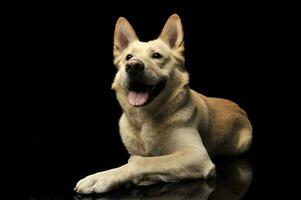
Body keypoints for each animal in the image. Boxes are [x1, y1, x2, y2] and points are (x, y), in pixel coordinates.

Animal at [74, 13, 251, 194]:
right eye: (128, 57)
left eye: (157, 56)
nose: (133, 66)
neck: (144, 120)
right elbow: (138, 158)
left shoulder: (196, 155)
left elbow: (145, 161)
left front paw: (104, 177)